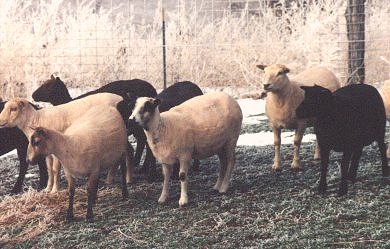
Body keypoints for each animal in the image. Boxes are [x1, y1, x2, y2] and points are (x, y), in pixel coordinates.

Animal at [0, 93, 129, 193]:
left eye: (14, 109)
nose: (1, 121)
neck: (36, 119)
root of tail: (120, 97)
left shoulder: (57, 148)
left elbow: (55, 169)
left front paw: (55, 190)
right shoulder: (46, 151)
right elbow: (49, 169)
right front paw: (47, 188)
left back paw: (119, 178)